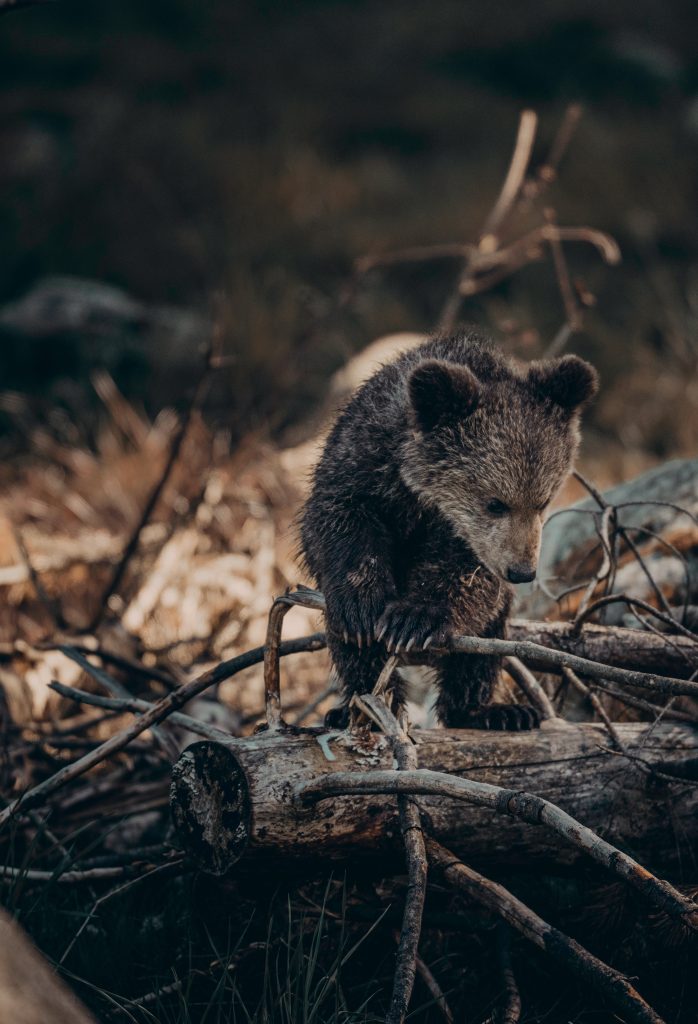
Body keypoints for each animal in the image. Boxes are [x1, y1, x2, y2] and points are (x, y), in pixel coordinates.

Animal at [299, 331, 598, 729]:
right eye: (495, 502)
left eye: (544, 500)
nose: (521, 571)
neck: (424, 495)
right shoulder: (361, 465)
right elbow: (335, 523)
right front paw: (361, 606)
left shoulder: (470, 544)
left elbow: (466, 579)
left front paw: (414, 619)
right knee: (352, 651)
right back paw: (360, 706)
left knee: (480, 649)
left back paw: (492, 711)